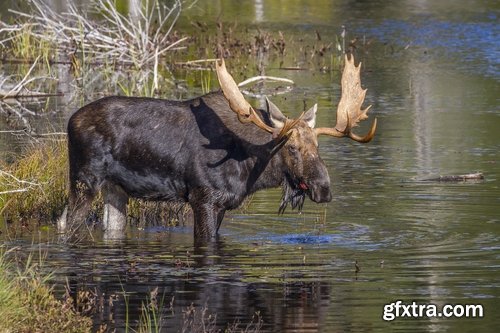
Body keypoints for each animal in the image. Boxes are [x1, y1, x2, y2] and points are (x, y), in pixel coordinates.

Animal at [58, 55, 376, 241]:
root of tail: (70, 120)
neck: (251, 170)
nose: (324, 189)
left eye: (318, 146)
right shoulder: (203, 198)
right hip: (84, 179)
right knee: (67, 222)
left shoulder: (223, 204)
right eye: (292, 148)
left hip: (116, 188)